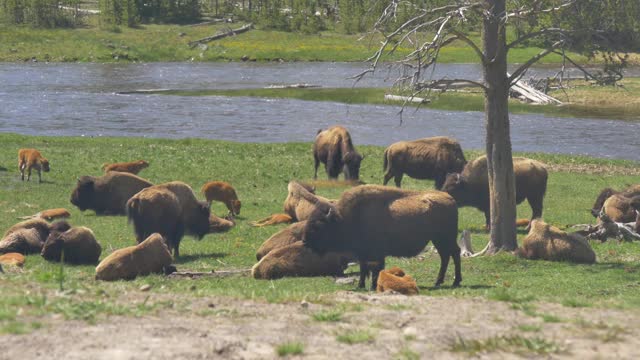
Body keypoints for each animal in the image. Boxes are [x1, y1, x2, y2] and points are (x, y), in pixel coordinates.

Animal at [302, 186, 460, 290]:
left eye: (317, 225)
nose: (304, 242)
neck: (344, 218)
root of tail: (451, 199)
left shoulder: (375, 254)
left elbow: (375, 269)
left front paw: (372, 286)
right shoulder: (363, 253)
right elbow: (365, 268)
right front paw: (361, 285)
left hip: (445, 238)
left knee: (454, 253)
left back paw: (455, 281)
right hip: (438, 240)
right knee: (446, 256)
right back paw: (439, 282)